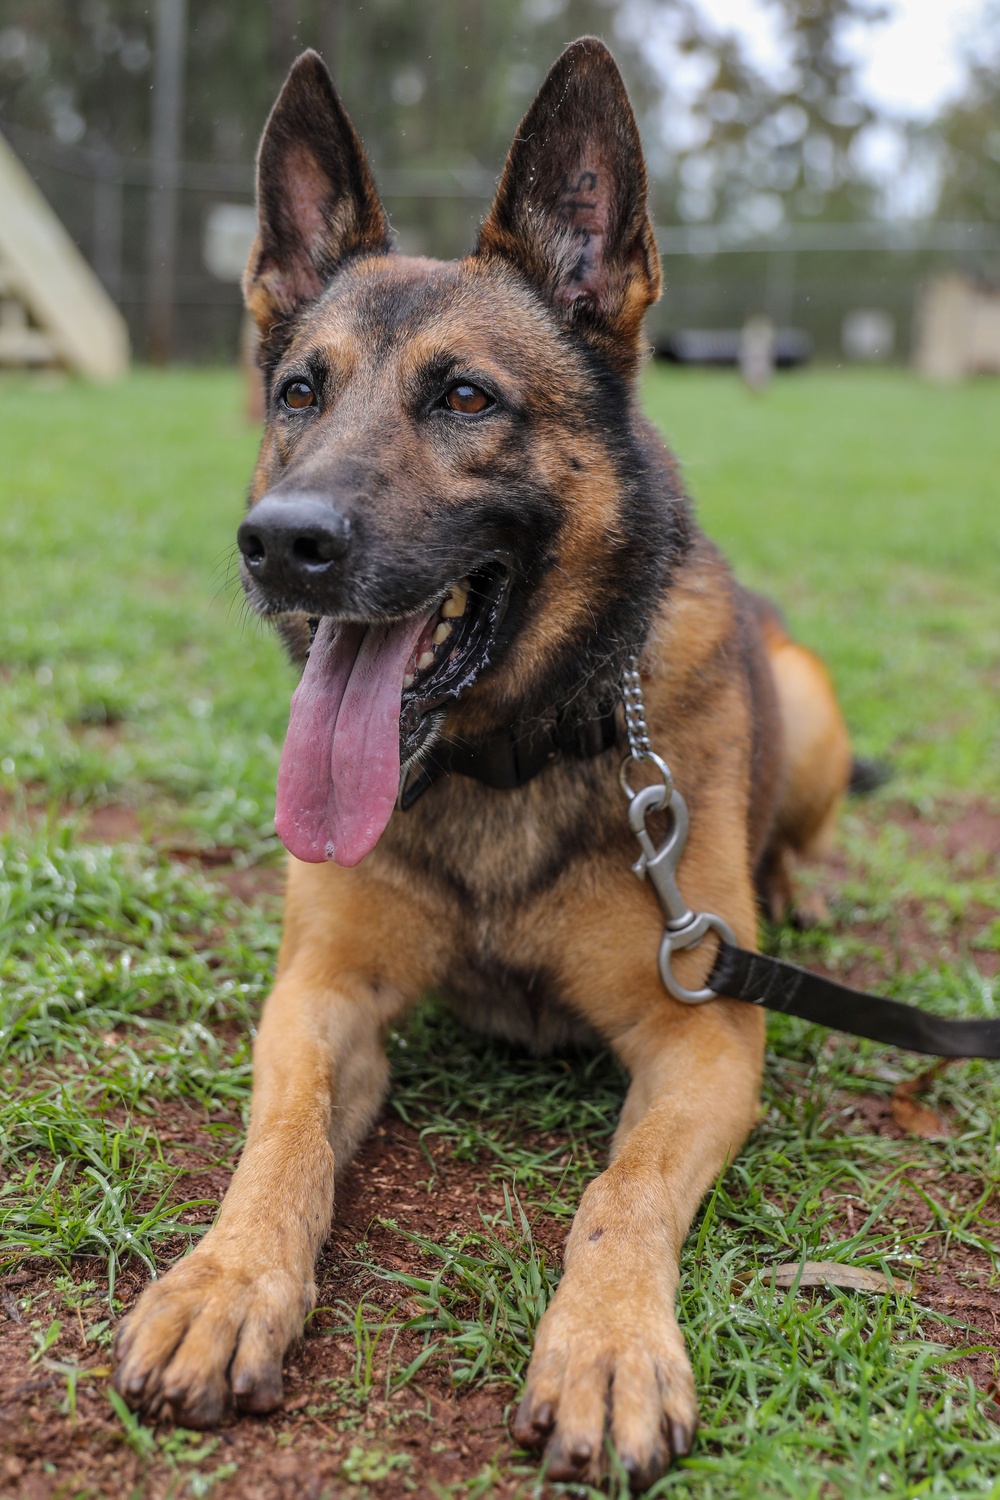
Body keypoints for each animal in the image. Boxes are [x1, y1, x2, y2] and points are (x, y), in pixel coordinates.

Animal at [117, 38, 851, 1488]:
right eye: (298, 393)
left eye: (465, 398)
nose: (281, 543)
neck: (504, 753)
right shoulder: (321, 996)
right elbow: (282, 1144)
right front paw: (225, 1282)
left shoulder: (703, 1034)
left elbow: (620, 1192)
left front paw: (610, 1347)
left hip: (809, 708)